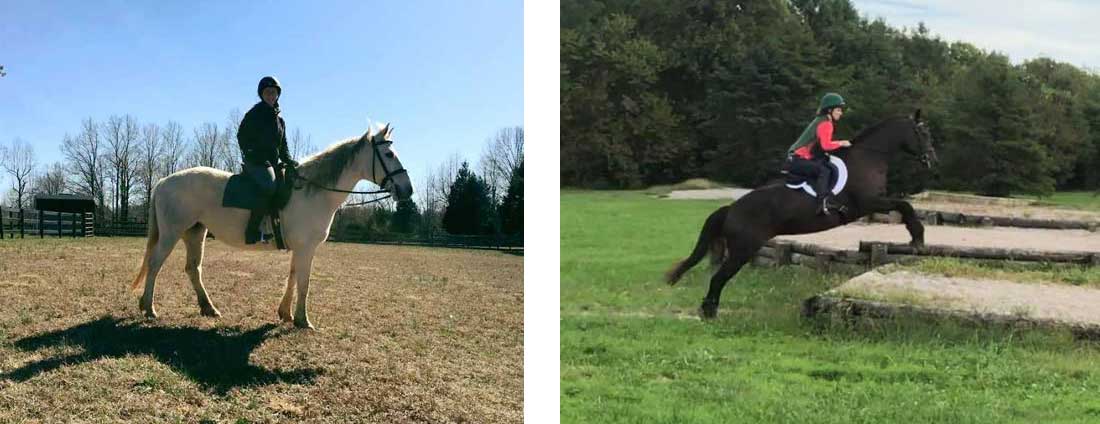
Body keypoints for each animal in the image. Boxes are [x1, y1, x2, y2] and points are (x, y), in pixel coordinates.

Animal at [129, 122, 413, 325]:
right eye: (388, 153)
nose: (406, 190)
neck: (312, 191)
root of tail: (164, 181)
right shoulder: (307, 248)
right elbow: (304, 282)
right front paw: (302, 320)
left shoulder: (300, 248)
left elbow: (293, 277)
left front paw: (285, 314)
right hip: (171, 233)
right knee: (154, 265)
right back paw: (149, 308)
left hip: (195, 233)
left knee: (192, 269)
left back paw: (208, 308)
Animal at [660, 110, 937, 319]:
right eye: (923, 133)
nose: (932, 159)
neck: (868, 157)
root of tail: (731, 209)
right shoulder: (869, 203)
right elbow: (905, 206)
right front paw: (917, 238)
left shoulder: (874, 203)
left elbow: (903, 206)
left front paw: (917, 239)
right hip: (743, 249)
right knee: (719, 278)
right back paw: (709, 313)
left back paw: (708, 311)